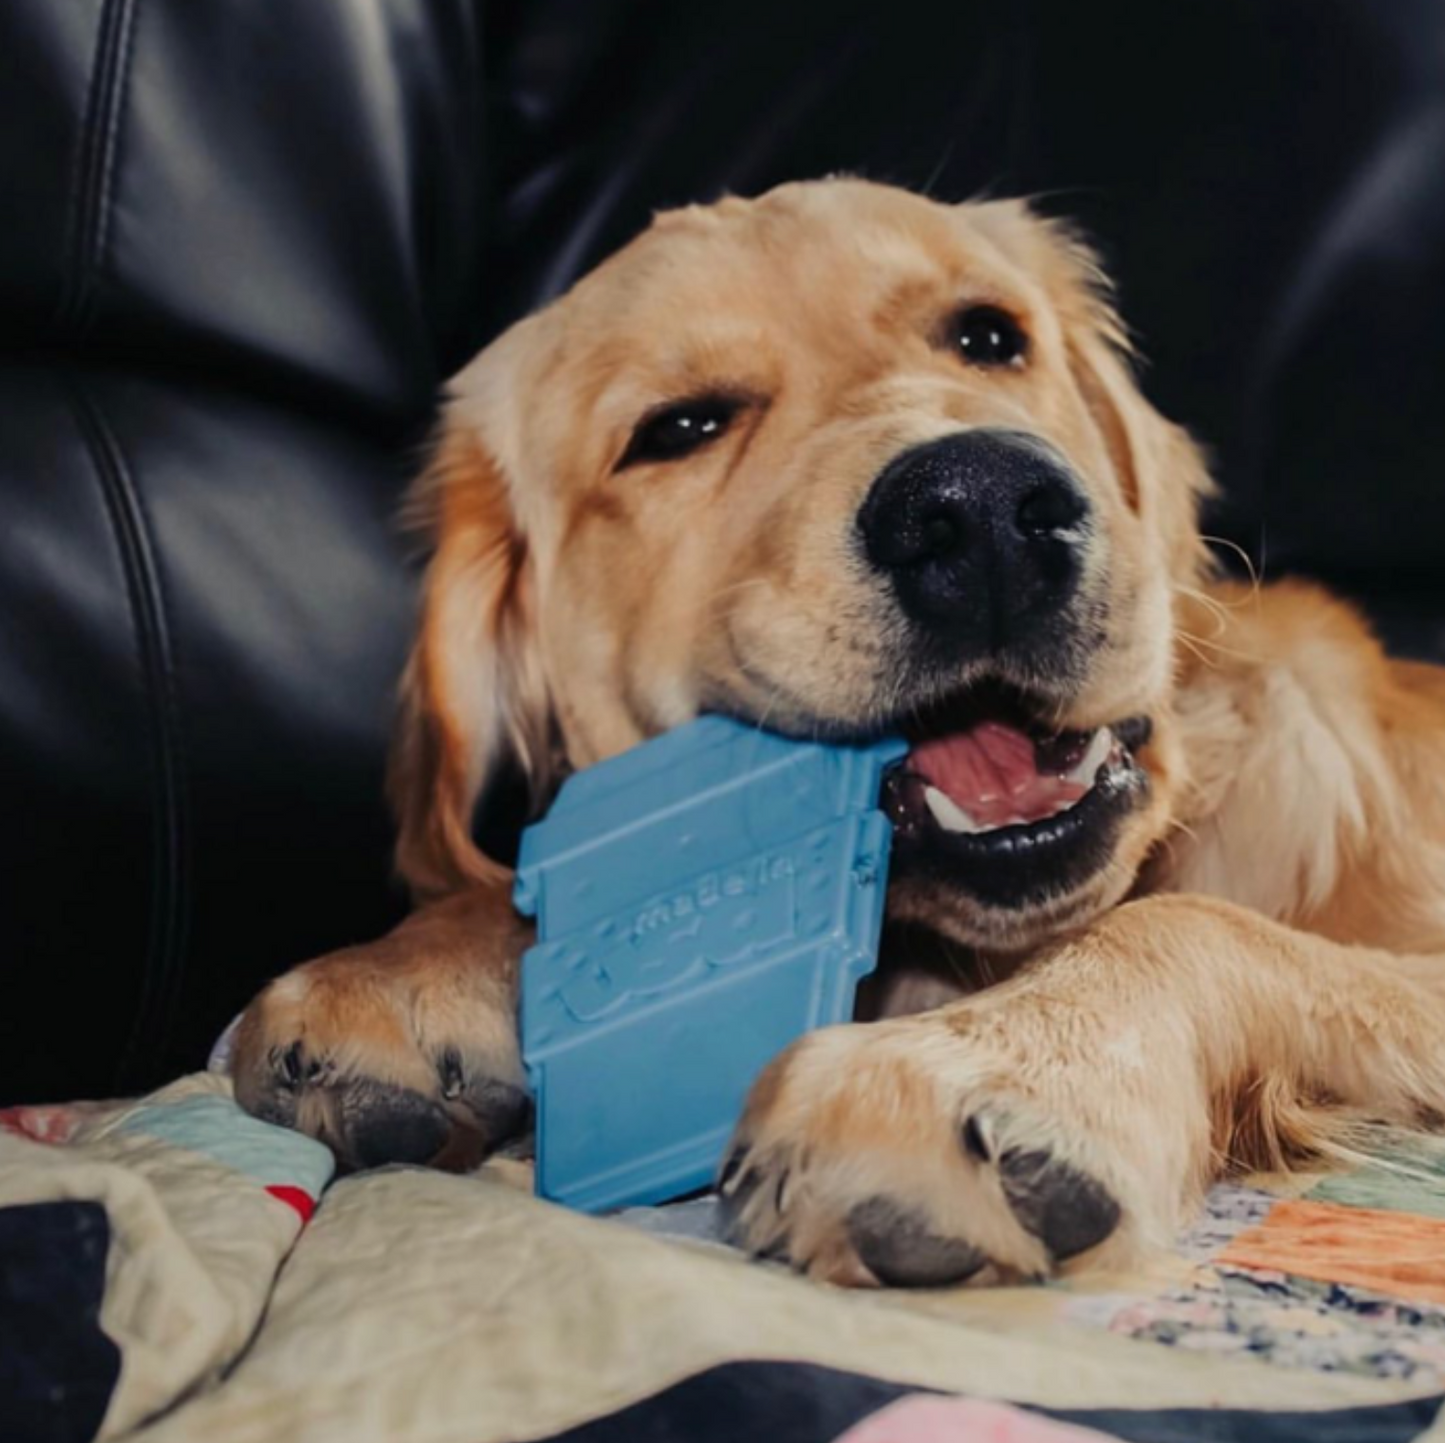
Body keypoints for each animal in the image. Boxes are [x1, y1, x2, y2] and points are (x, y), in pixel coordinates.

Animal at [231, 177, 1445, 1288]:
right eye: (678, 428)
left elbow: (1191, 923)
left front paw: (991, 1067)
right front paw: (401, 969)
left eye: (988, 335)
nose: (981, 509)